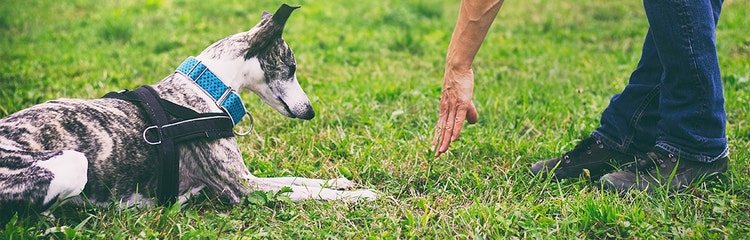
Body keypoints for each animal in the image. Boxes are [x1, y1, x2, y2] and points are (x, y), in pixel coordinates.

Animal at [0, 4, 376, 221]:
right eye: (292, 67)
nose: (310, 112)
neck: (205, 88)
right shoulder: (243, 187)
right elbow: (308, 192)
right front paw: (360, 196)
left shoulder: (248, 178)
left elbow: (298, 179)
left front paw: (342, 182)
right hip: (72, 162)